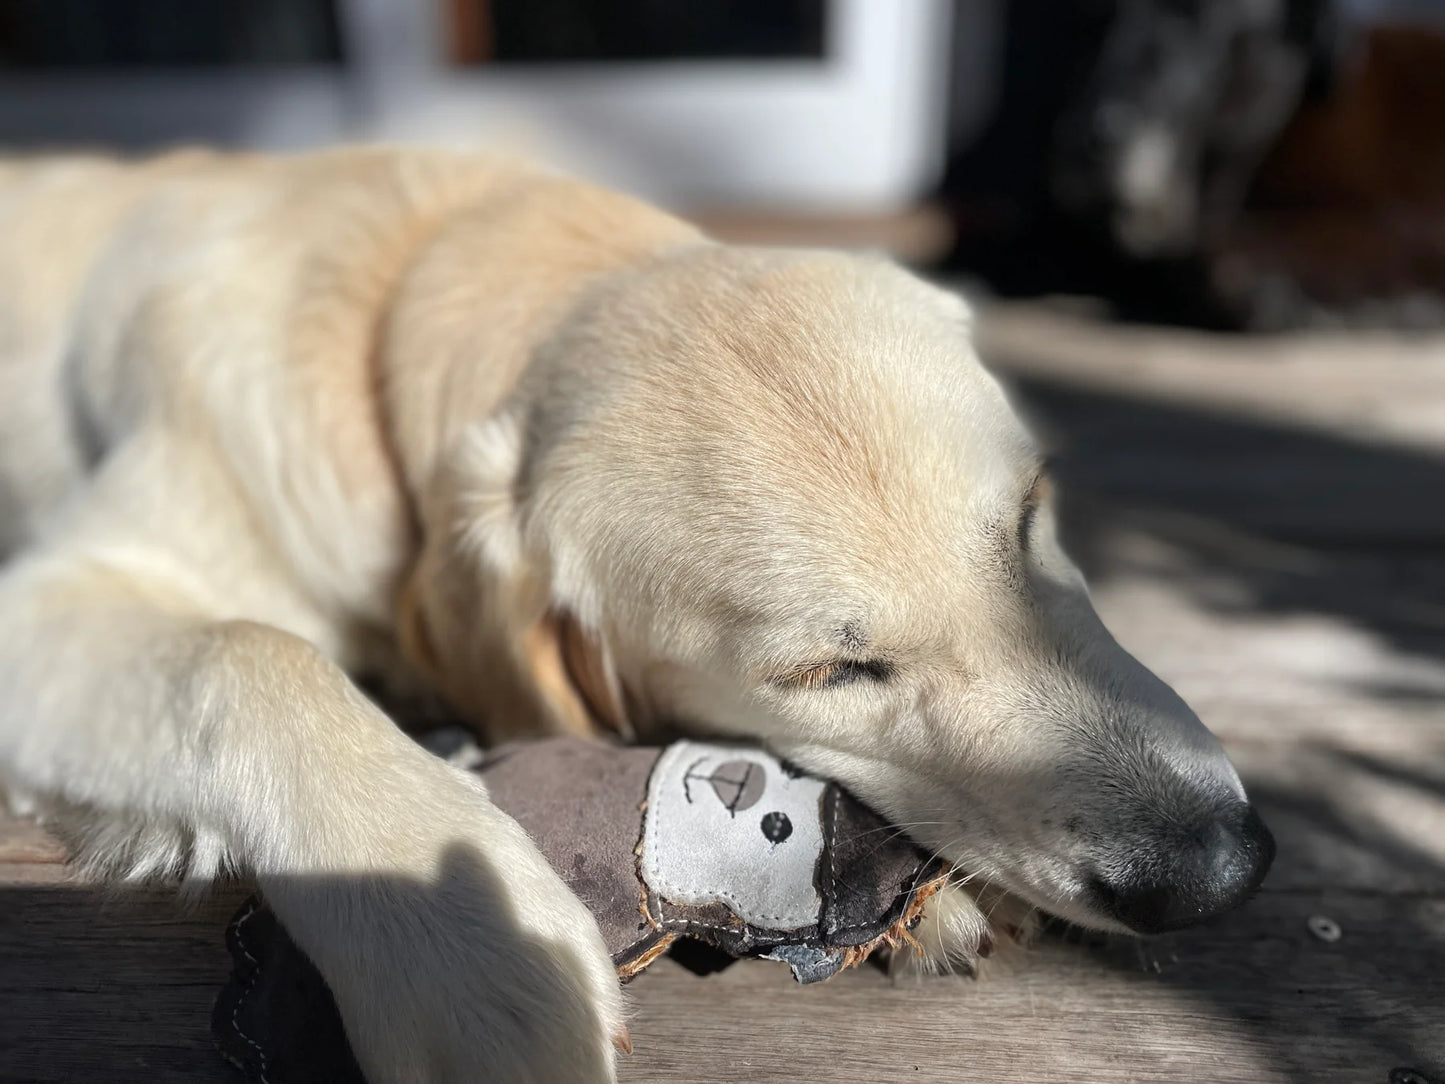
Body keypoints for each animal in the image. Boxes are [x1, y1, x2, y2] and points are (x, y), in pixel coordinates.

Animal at [0, 146, 1271, 1084]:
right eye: (827, 673)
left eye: (1026, 515)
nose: (1217, 871)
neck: (408, 287)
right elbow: (250, 654)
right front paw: (471, 948)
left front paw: (934, 904)